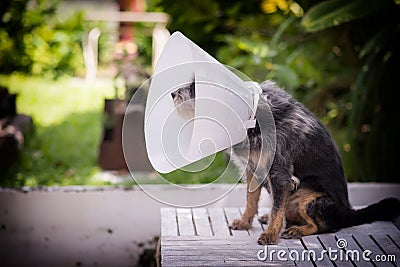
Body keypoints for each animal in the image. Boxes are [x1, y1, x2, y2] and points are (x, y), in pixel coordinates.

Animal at [170, 79, 400, 245]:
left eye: (196, 87)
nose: (173, 93)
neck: (251, 115)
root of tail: (349, 213)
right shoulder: (253, 170)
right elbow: (251, 200)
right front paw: (245, 222)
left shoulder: (280, 174)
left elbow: (276, 209)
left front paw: (271, 235)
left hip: (307, 198)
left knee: (321, 225)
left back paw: (295, 230)